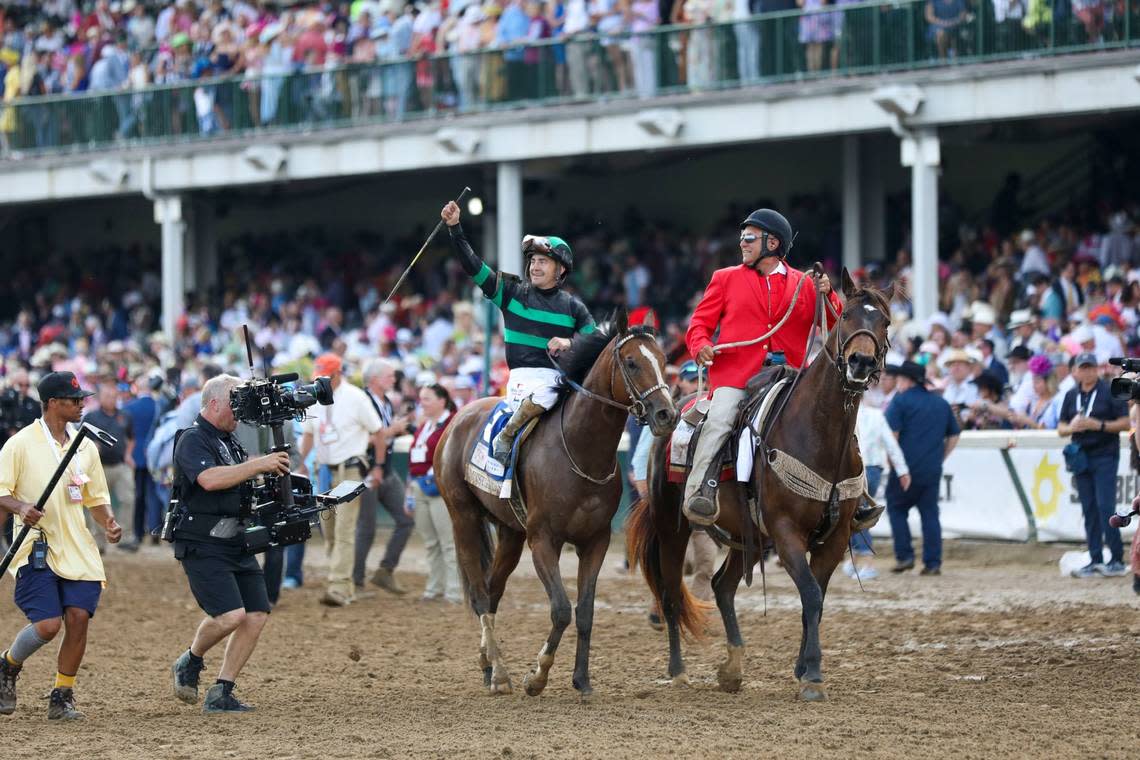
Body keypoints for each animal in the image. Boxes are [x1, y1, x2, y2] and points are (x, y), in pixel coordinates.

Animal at [430, 307, 670, 697]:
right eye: (632, 362)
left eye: (664, 361)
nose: (667, 414)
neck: (581, 450)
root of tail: (457, 418)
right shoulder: (543, 538)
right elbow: (560, 608)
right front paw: (537, 676)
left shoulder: (596, 540)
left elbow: (585, 611)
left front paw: (582, 680)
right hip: (463, 517)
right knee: (479, 595)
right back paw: (500, 674)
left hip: (510, 532)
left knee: (493, 592)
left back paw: (488, 664)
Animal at [629, 272, 893, 701]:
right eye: (846, 316)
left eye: (884, 321)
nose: (861, 362)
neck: (818, 434)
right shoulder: (786, 533)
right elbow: (811, 594)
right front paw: (812, 675)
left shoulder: (835, 538)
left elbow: (815, 599)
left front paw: (804, 669)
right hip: (673, 528)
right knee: (670, 594)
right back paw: (678, 671)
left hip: (747, 537)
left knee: (722, 586)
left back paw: (732, 668)